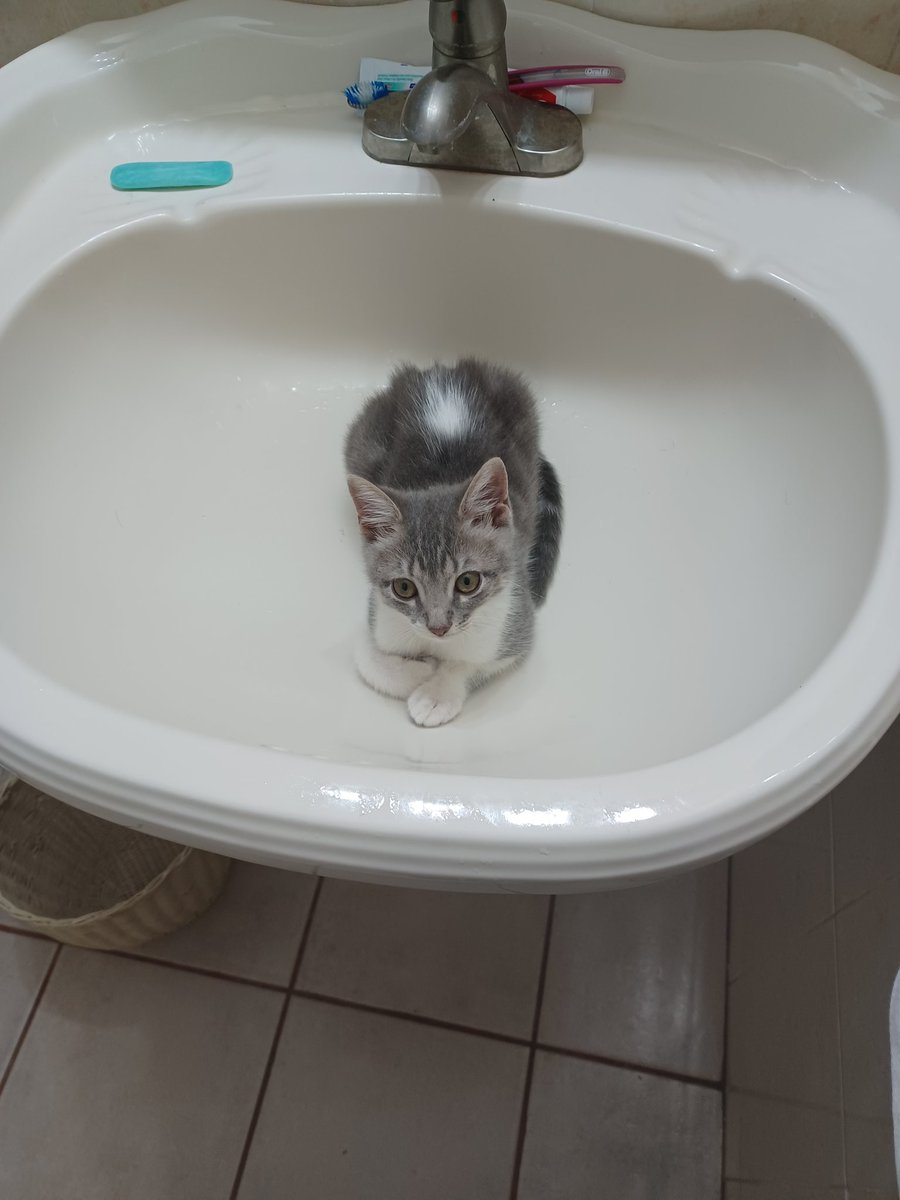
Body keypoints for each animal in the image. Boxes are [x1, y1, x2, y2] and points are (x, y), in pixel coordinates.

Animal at [345, 355, 564, 724]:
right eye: (404, 588)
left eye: (467, 582)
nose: (439, 628)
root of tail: (443, 370)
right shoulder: (379, 616)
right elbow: (365, 656)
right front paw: (418, 671)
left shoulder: (515, 622)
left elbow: (470, 663)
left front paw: (436, 692)